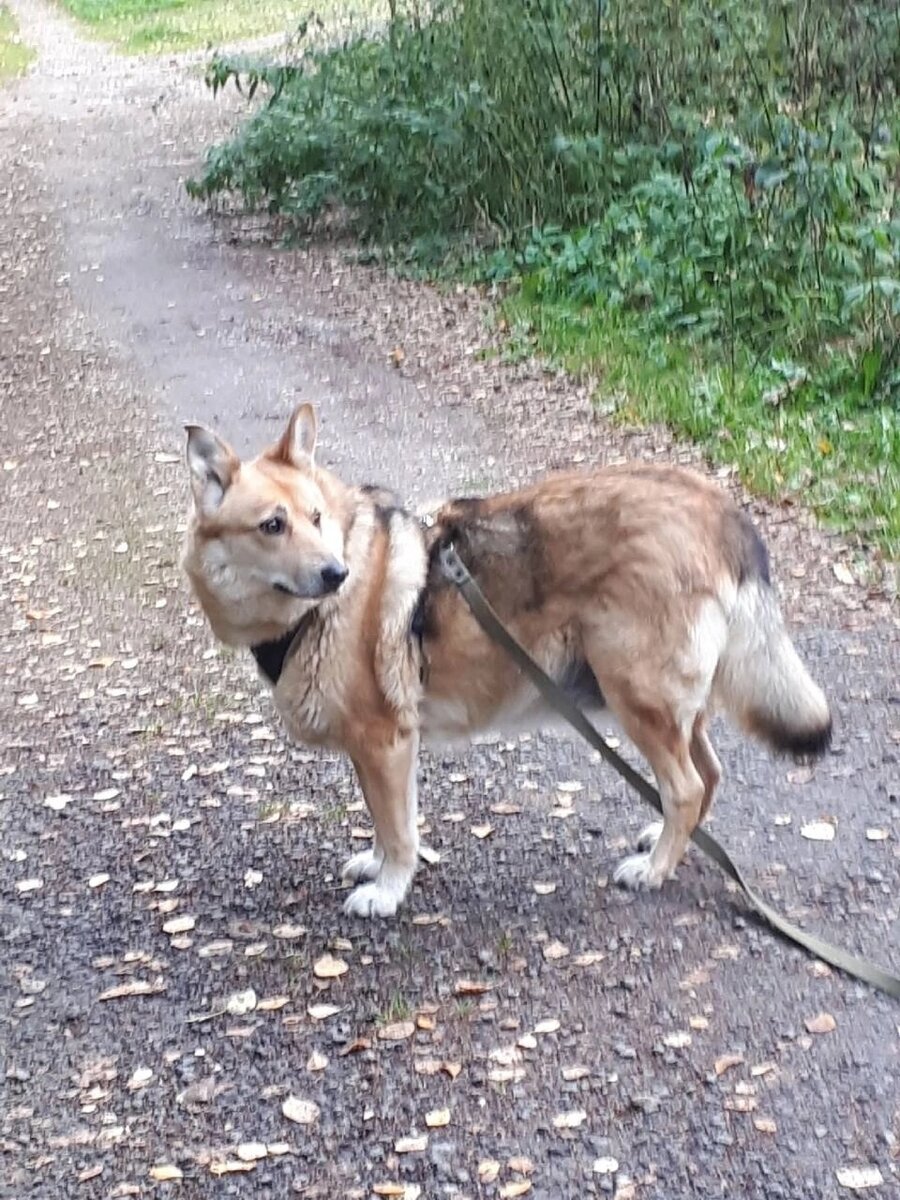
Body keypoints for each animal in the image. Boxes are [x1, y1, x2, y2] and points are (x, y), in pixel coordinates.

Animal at [181, 403, 830, 916]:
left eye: (316, 519)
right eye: (273, 525)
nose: (335, 573)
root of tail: (718, 507)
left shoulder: (385, 742)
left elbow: (398, 830)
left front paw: (389, 890)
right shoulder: (377, 752)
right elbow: (385, 822)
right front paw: (377, 865)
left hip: (638, 698)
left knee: (689, 786)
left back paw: (655, 869)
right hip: (667, 705)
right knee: (707, 775)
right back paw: (672, 842)